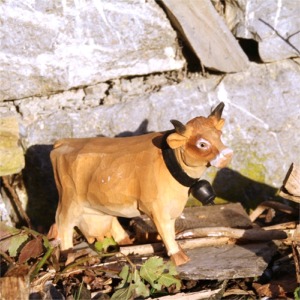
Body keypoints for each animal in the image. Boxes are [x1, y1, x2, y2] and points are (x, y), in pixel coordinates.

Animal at [49, 102, 232, 264]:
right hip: (69, 201)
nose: (228, 154)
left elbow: (171, 230)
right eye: (202, 144)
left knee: (111, 221)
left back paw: (127, 242)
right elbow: (166, 232)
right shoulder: (156, 209)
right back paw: (68, 254)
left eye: (219, 135)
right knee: (63, 223)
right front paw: (178, 256)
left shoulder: (171, 208)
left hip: (99, 204)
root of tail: (64, 142)